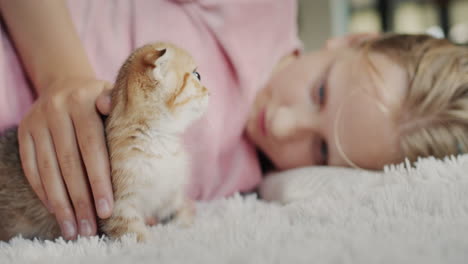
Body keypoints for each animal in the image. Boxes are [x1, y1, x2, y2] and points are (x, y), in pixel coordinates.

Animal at [0, 42, 209, 241]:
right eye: (197, 75)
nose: (209, 92)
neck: (159, 140)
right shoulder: (118, 207)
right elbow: (135, 234)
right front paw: (150, 244)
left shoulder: (168, 195)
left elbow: (177, 213)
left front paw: (188, 223)